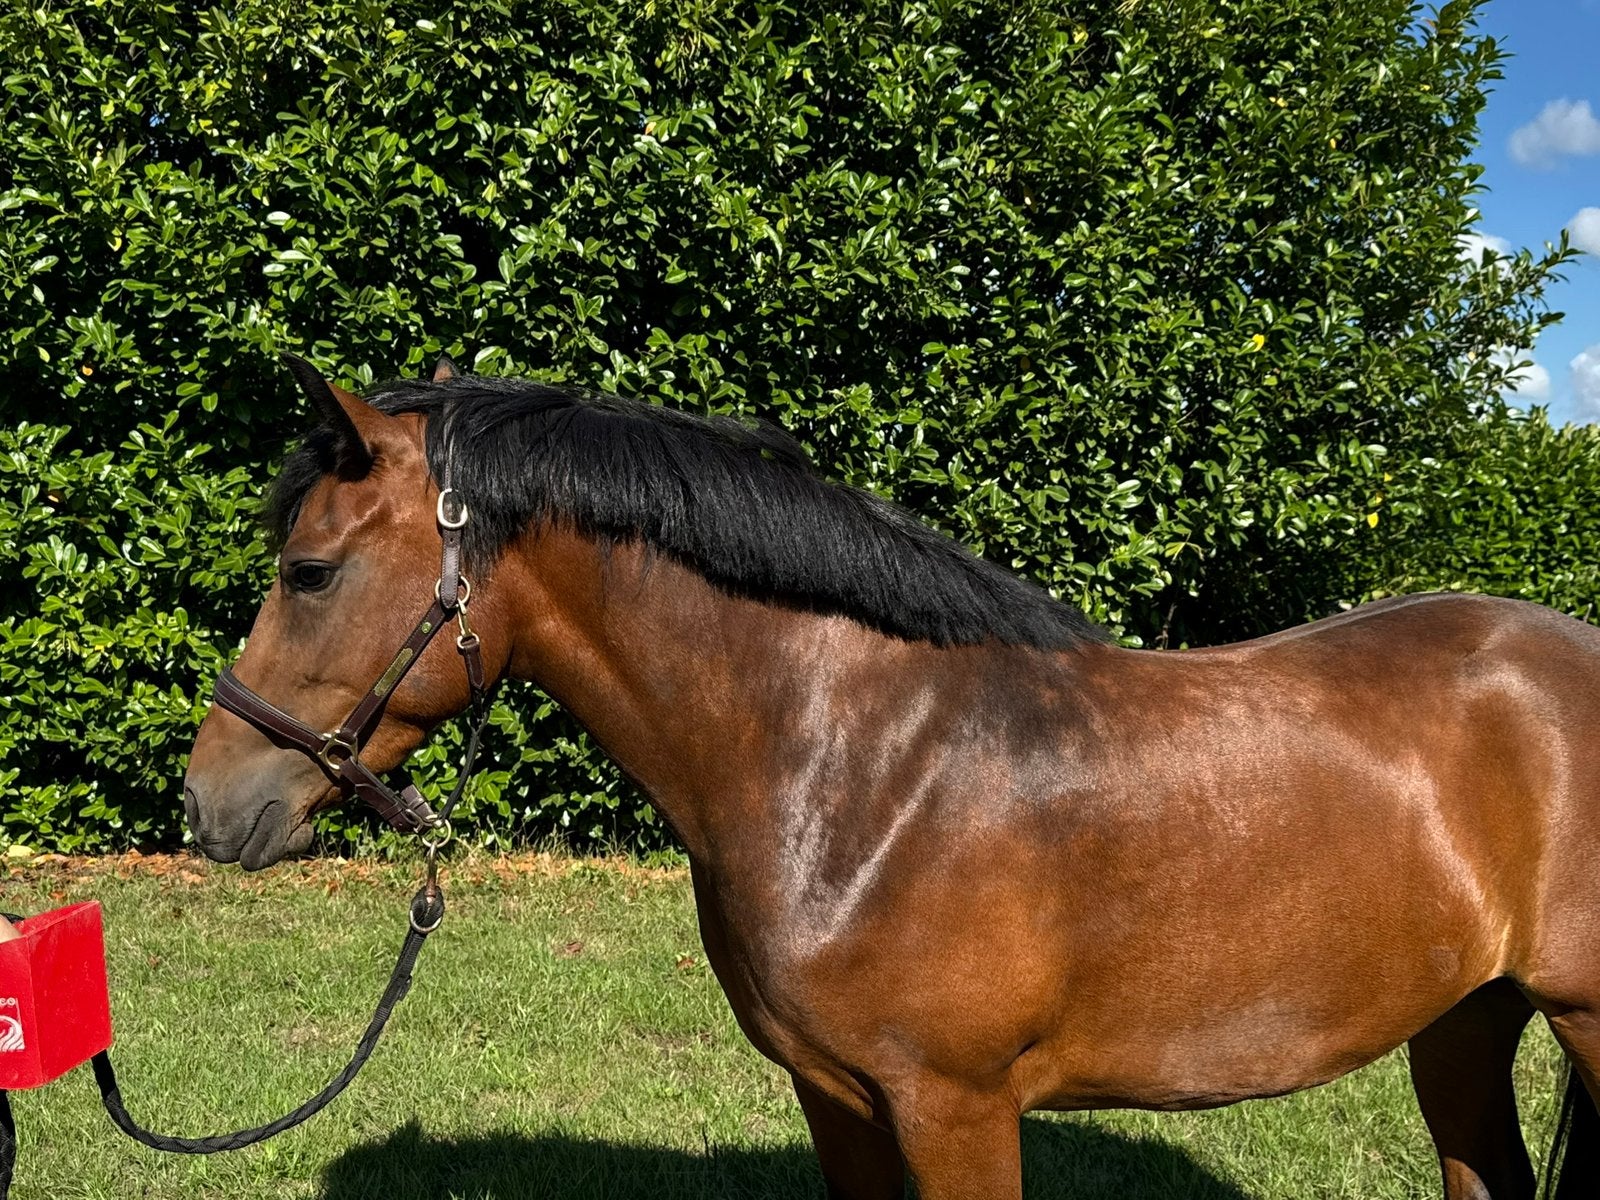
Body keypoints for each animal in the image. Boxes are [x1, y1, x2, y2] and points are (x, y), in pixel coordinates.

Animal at [183, 356, 1600, 1199]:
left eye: (308, 571)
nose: (209, 802)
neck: (857, 768)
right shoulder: (842, 1101)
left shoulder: (954, 1110)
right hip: (1461, 1022)